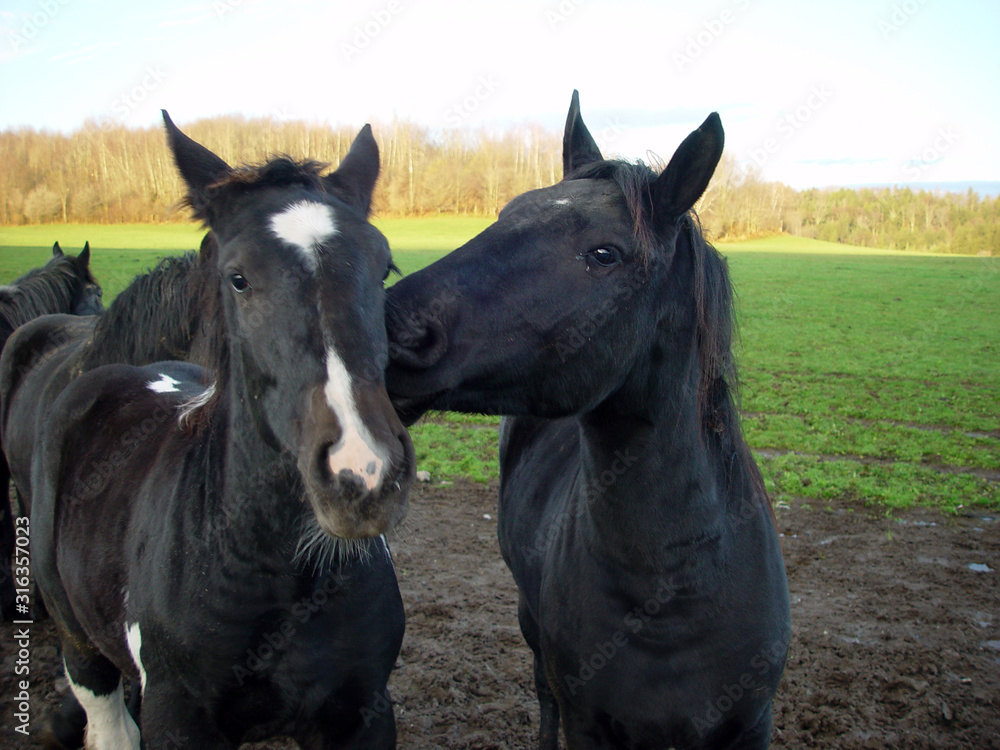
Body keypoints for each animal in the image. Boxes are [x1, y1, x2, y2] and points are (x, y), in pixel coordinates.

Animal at [25, 112, 415, 750]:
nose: (363, 474)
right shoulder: (178, 720)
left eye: (384, 267)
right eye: (237, 279)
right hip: (83, 652)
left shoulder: (362, 715)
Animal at [384, 92, 791, 749]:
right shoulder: (588, 721)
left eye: (605, 254)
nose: (386, 330)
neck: (672, 594)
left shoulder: (751, 725)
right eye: (504, 215)